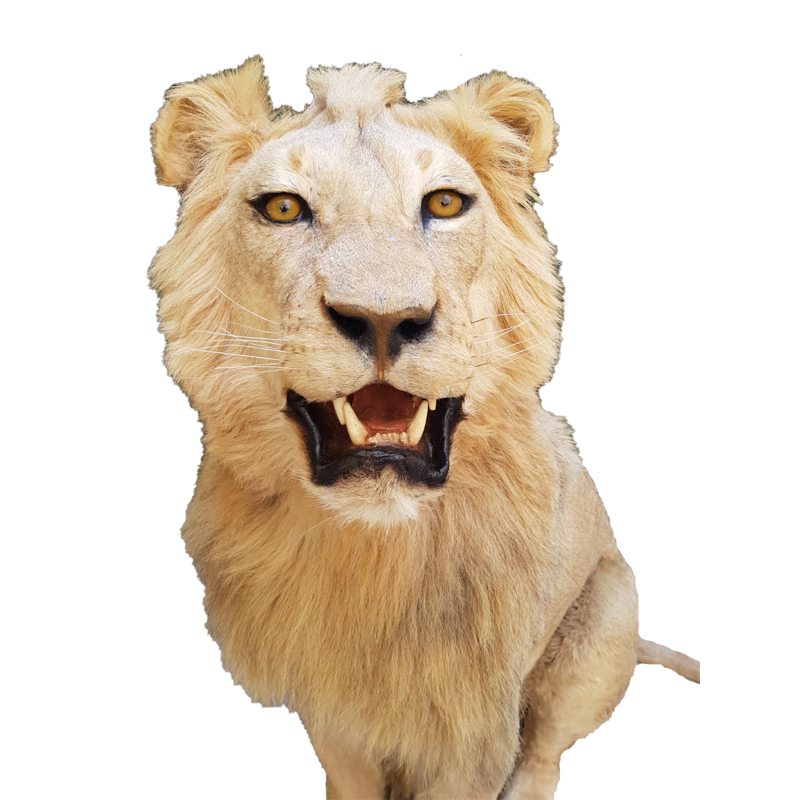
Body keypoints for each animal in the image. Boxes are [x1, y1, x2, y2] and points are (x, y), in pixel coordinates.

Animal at [149, 59, 699, 800]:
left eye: (443, 204)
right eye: (283, 208)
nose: (385, 317)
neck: (379, 556)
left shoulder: (479, 719)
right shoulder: (334, 711)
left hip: (601, 621)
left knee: (547, 750)